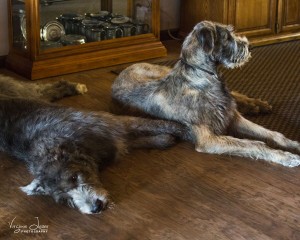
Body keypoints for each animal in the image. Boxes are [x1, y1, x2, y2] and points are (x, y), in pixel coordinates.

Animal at [0, 74, 185, 214]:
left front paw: (180, 129)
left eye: (74, 178)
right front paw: (163, 139)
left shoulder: (110, 124)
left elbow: (154, 124)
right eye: (66, 199)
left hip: (26, 90)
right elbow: (136, 140)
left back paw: (74, 87)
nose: (96, 208)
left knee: (45, 87)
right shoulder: (114, 139)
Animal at [112, 20, 300, 167]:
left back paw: (257, 105)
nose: (250, 46)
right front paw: (285, 156)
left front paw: (293, 144)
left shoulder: (233, 117)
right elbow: (255, 144)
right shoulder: (208, 139)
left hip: (161, 71)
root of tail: (124, 70)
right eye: (227, 37)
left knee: (236, 96)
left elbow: (273, 134)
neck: (202, 77)